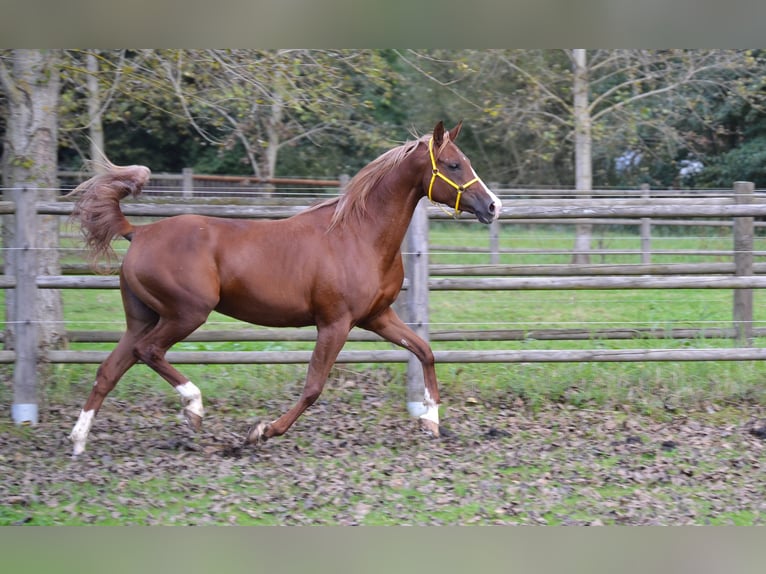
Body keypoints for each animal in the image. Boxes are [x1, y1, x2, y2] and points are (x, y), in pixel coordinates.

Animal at [69, 122, 504, 460]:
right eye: (453, 164)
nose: (494, 206)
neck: (358, 235)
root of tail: (138, 232)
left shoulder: (377, 317)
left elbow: (425, 350)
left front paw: (430, 421)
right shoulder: (335, 323)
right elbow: (313, 387)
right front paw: (260, 432)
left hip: (143, 318)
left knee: (110, 370)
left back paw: (78, 440)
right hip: (185, 313)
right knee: (149, 352)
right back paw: (193, 407)